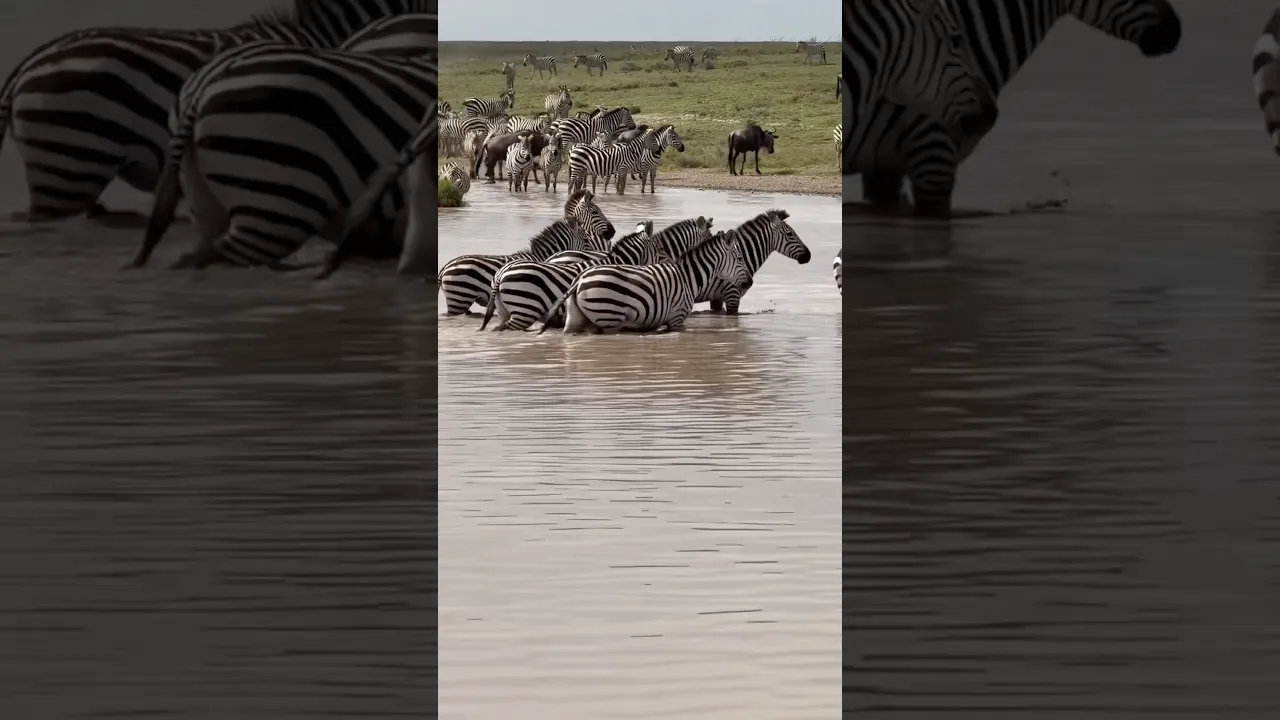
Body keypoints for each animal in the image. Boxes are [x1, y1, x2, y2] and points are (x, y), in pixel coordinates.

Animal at [539, 231, 745, 335]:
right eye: (740, 258)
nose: (748, 283)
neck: (688, 277)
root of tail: (579, 280)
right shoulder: (677, 319)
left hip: (575, 320)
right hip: (609, 317)